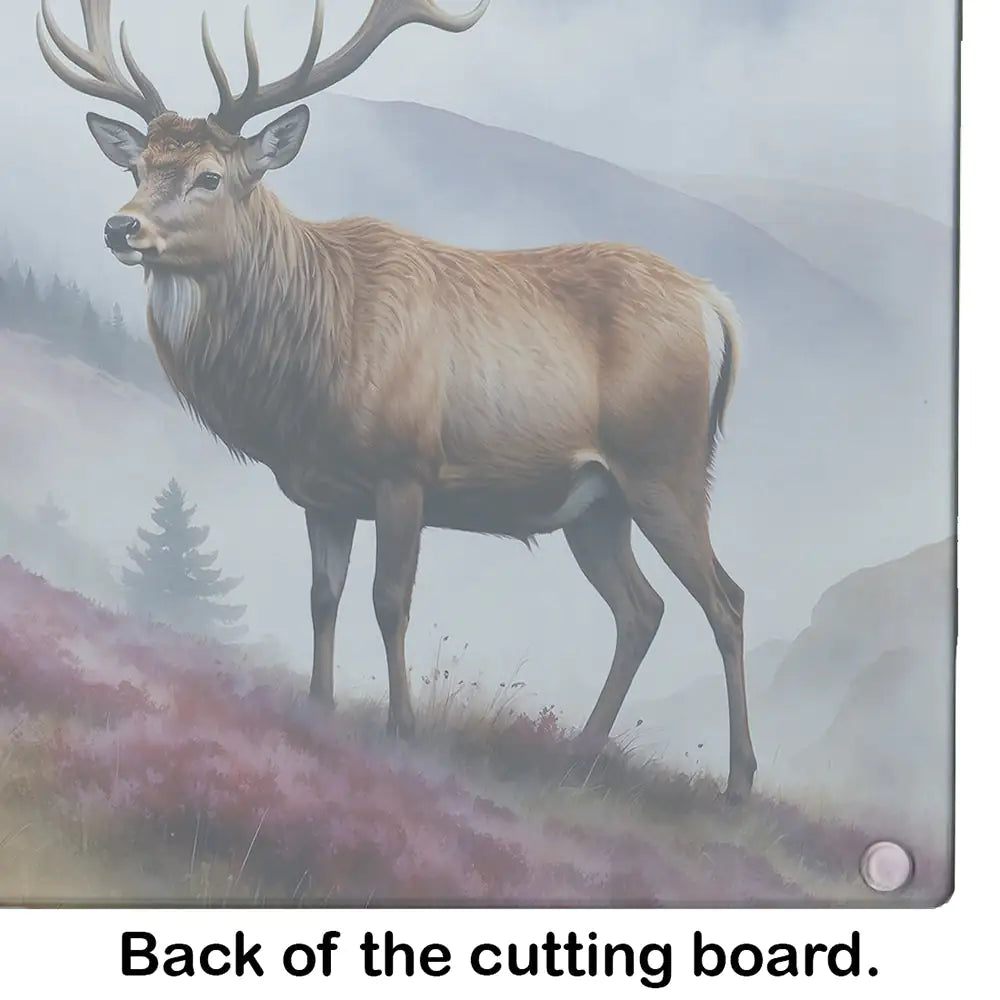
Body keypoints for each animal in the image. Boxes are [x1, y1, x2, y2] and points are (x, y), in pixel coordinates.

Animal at [37, 0, 758, 800]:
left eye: (209, 177)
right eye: (136, 167)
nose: (119, 226)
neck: (309, 366)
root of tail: (712, 304)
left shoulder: (406, 467)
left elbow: (390, 599)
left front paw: (402, 728)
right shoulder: (320, 491)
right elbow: (323, 595)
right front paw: (317, 709)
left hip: (666, 464)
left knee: (726, 600)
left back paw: (738, 781)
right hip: (597, 503)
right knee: (642, 609)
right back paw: (579, 754)